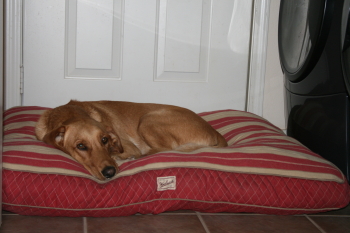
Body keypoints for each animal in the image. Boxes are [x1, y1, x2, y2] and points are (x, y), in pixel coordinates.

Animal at [35, 100, 227, 180]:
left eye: (104, 140)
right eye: (81, 146)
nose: (110, 172)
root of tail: (215, 132)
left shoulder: (128, 146)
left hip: (148, 119)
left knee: (163, 149)